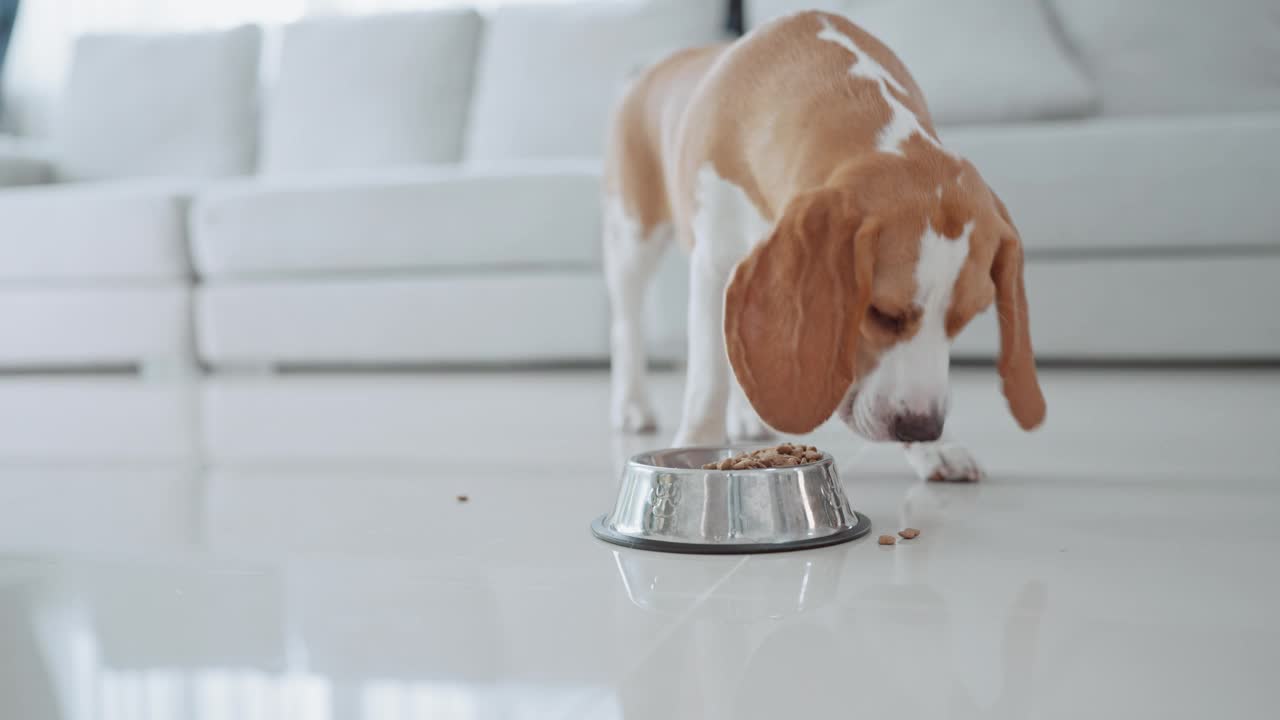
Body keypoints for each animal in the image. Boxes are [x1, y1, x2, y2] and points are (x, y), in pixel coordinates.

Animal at [604, 11, 1044, 479]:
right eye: (881, 313)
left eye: (965, 318)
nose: (922, 429)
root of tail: (655, 64)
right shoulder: (711, 265)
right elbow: (708, 381)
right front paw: (696, 444)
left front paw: (936, 450)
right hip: (633, 236)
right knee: (627, 325)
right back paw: (632, 404)